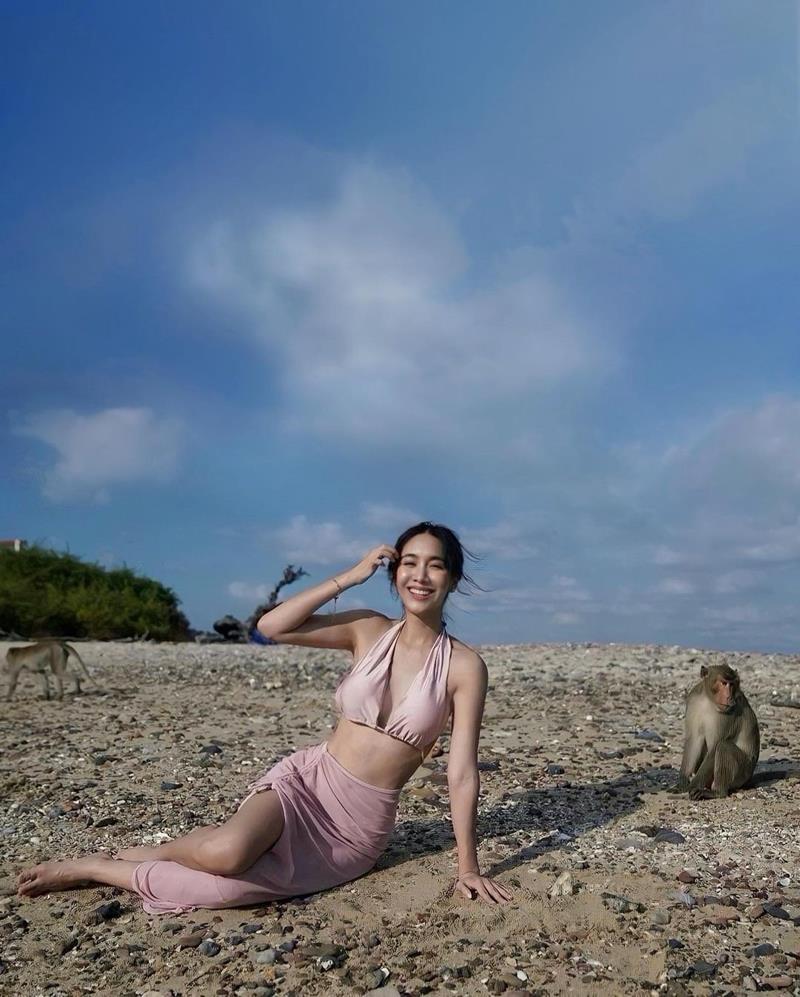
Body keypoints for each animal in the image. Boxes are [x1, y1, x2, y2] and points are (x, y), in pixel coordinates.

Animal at [671, 663, 759, 800]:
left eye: (732, 684)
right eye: (724, 683)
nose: (729, 697)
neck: (708, 700)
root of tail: (749, 778)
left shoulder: (729, 714)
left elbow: (714, 748)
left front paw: (692, 786)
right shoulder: (693, 701)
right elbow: (694, 740)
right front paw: (682, 782)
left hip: (743, 772)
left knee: (723, 747)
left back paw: (716, 792)